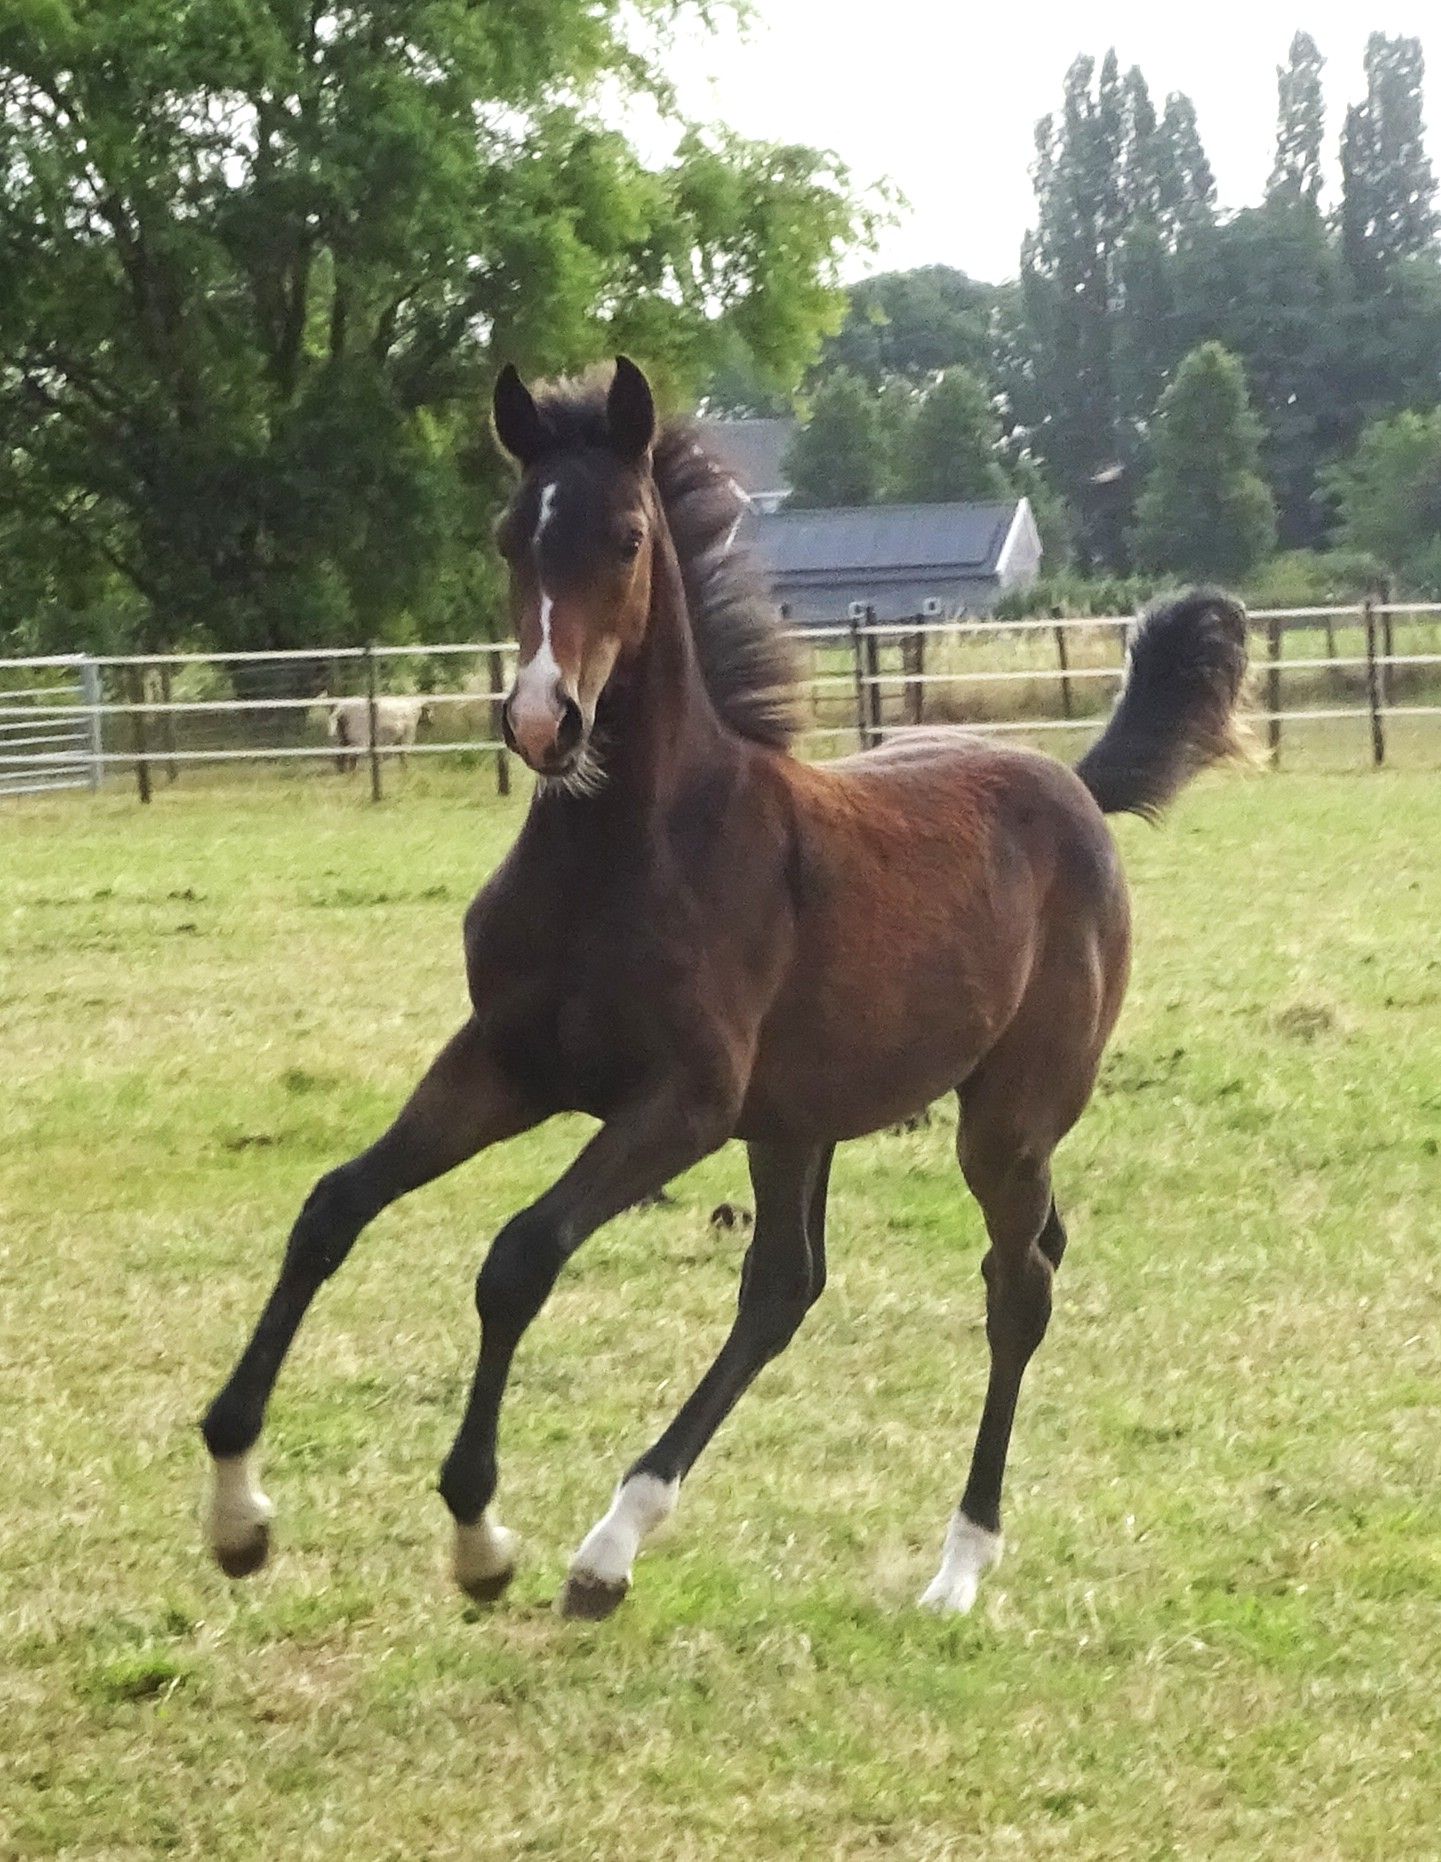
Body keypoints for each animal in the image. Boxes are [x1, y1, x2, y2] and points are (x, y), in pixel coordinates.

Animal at [201, 357, 1248, 1620]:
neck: (629, 851)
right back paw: (613, 1545)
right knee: (787, 1284)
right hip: (798, 1119)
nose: (544, 721)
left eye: (625, 538)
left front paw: (477, 1529)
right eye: (509, 535)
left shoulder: (683, 1102)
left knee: (1016, 1285)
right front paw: (237, 1507)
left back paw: (957, 1562)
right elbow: (332, 1208)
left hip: (1004, 1118)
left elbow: (518, 1256)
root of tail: (1077, 786)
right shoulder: (502, 1062)